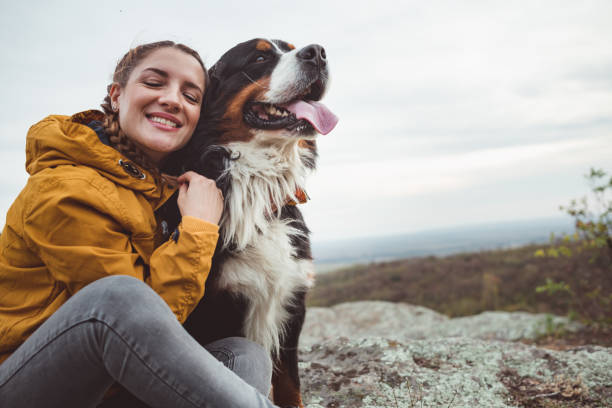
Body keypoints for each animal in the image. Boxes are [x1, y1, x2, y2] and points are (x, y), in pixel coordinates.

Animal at [159, 37, 340, 404]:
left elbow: (289, 384)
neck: (258, 185)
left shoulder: (292, 304)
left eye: (293, 47)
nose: (318, 52)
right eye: (259, 58)